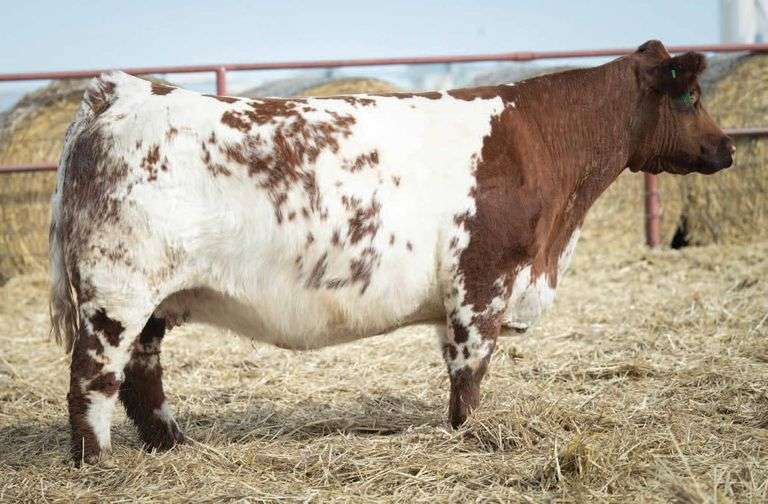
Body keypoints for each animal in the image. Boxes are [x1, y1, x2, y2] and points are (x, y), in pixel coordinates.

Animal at [49, 40, 734, 464]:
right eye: (690, 96)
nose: (727, 148)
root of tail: (128, 93)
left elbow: (461, 371)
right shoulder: (481, 283)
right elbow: (470, 373)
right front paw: (470, 435)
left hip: (151, 301)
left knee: (142, 374)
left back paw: (173, 444)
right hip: (119, 292)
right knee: (93, 375)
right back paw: (98, 462)